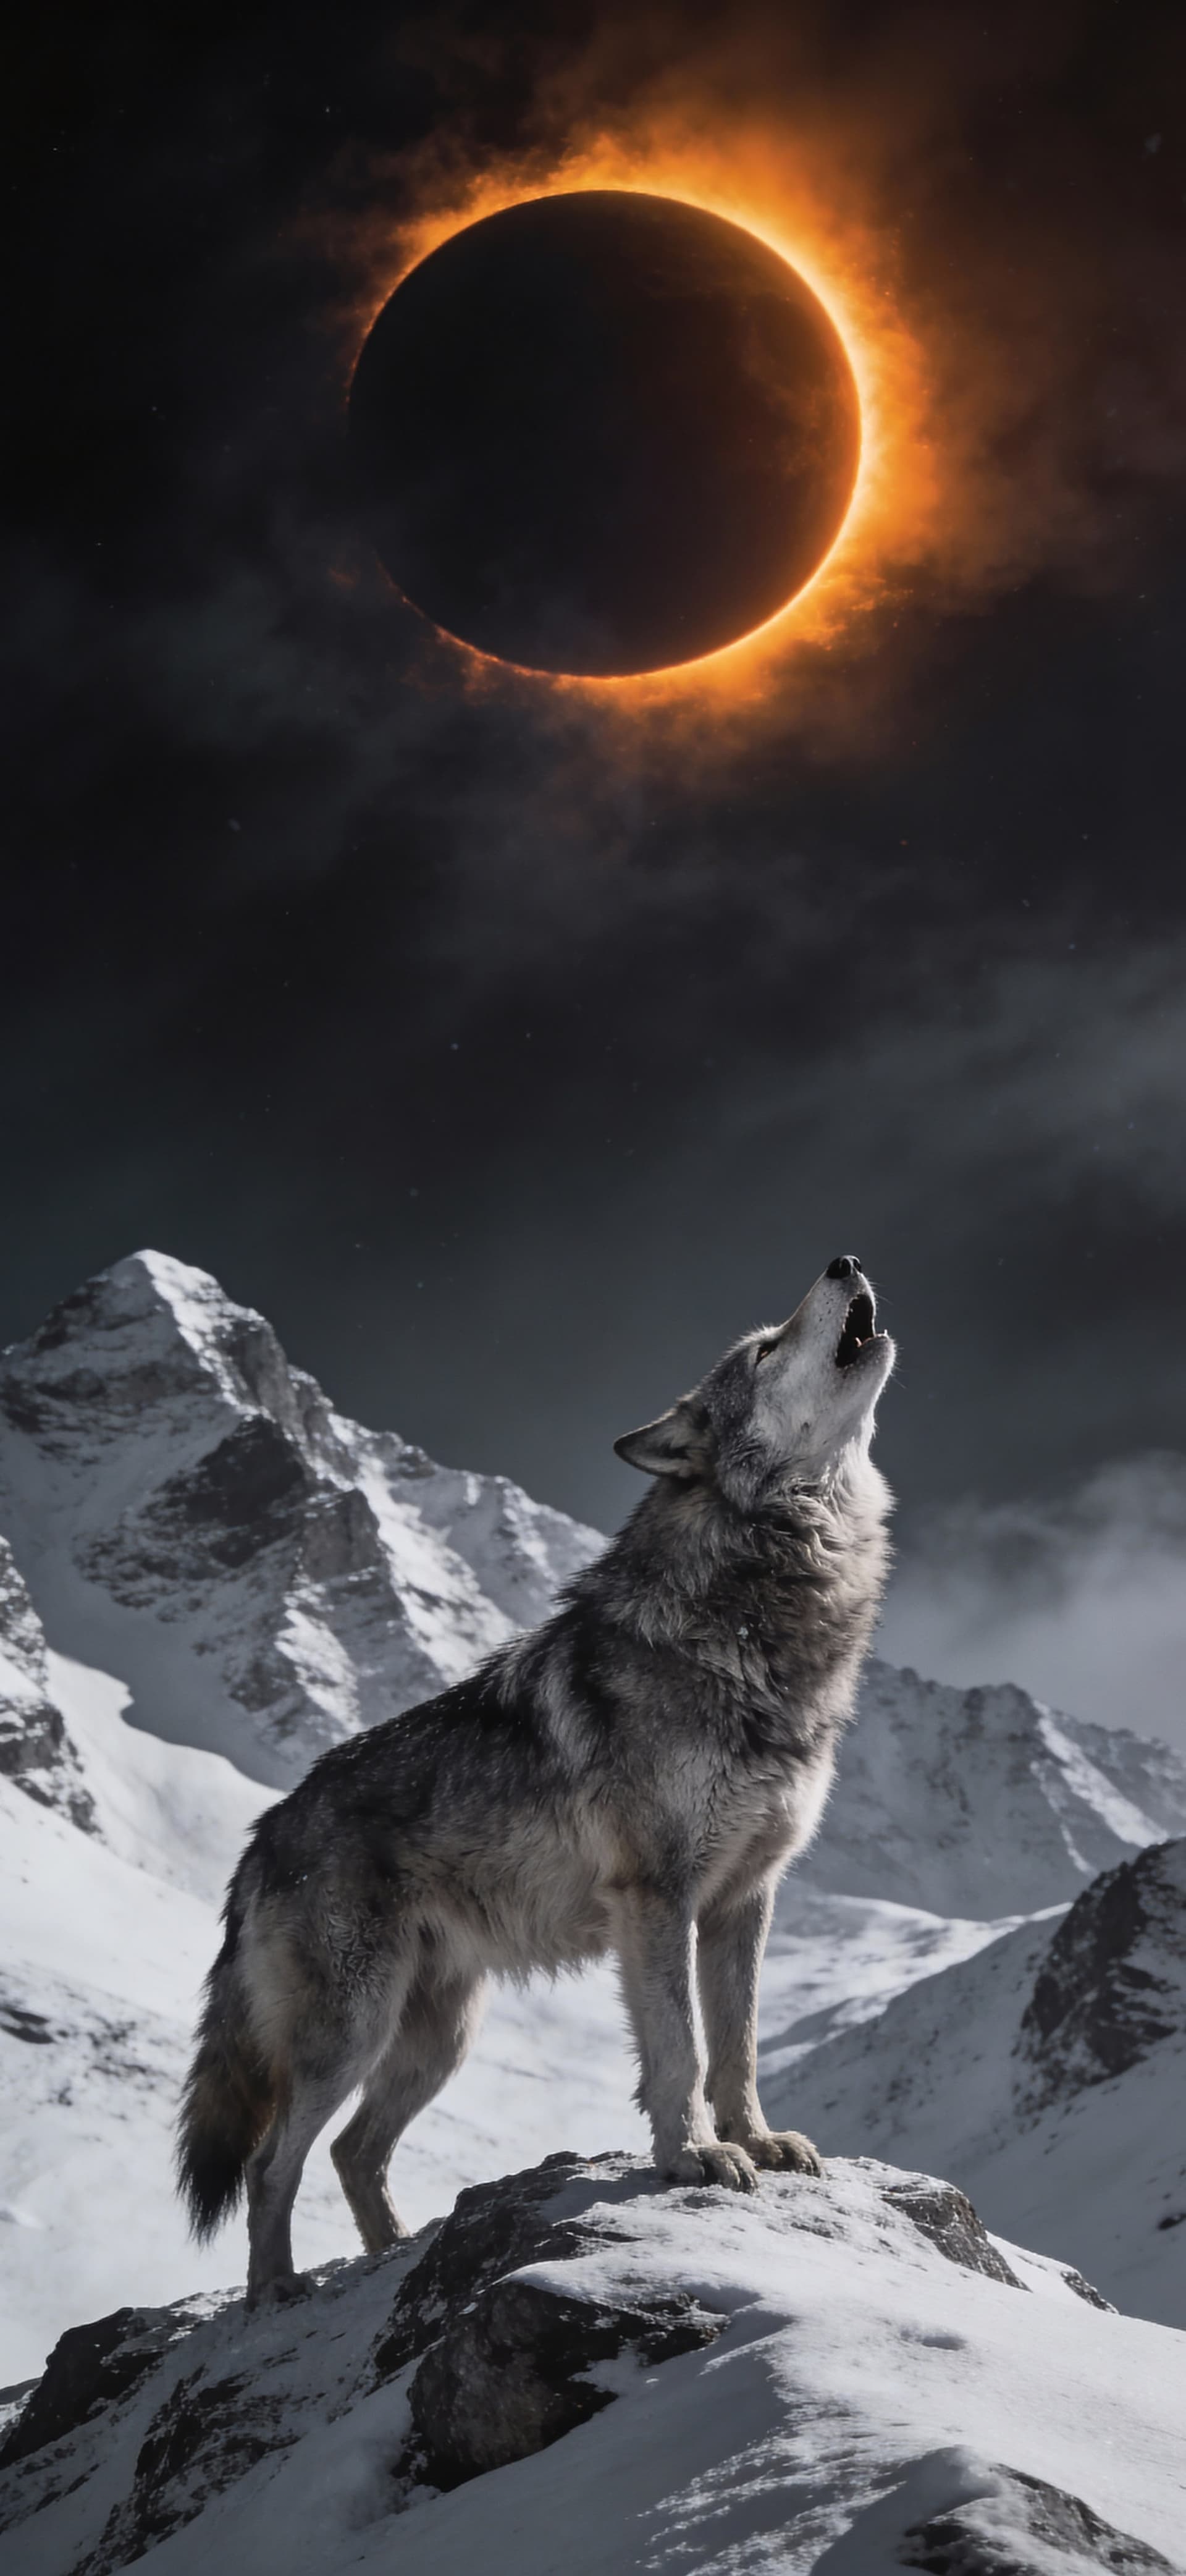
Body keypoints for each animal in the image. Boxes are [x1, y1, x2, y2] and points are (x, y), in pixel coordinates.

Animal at [178, 1255, 895, 2304]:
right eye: (765, 1348)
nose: (844, 1263)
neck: (761, 1618)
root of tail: (259, 1840)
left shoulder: (744, 1901)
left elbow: (740, 2044)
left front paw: (756, 2140)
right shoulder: (660, 1896)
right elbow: (682, 2047)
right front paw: (693, 2157)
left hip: (440, 2037)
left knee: (354, 2152)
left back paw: (391, 2254)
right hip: (352, 2030)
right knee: (277, 2163)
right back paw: (278, 2288)